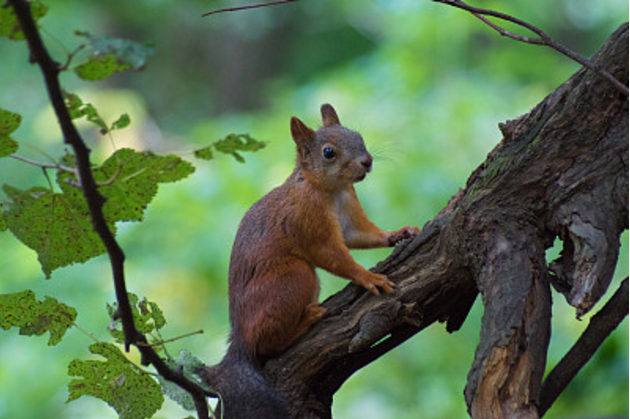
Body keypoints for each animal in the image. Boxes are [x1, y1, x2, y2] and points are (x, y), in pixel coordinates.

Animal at [202, 105, 420, 419]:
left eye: (358, 135)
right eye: (328, 152)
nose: (366, 162)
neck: (332, 190)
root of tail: (239, 339)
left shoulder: (349, 215)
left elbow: (361, 235)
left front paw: (398, 234)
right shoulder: (307, 222)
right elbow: (333, 255)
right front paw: (370, 278)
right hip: (295, 278)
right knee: (267, 346)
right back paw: (306, 320)